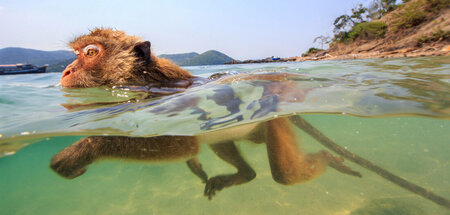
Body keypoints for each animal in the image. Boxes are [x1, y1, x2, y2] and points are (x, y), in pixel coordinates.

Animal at [52, 28, 362, 200]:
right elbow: (191, 149)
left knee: (284, 174)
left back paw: (327, 158)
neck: (144, 82)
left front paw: (85, 148)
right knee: (222, 142)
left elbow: (183, 145)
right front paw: (195, 166)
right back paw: (244, 174)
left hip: (275, 124)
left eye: (90, 52)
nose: (65, 71)